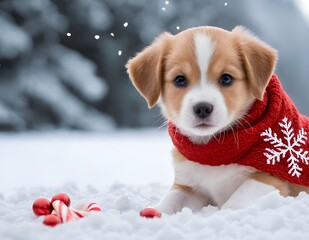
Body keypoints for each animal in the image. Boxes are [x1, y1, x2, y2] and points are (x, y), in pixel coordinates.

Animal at [125, 26, 308, 214]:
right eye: (179, 79)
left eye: (226, 78)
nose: (202, 108)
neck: (214, 148)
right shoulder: (189, 186)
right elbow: (171, 199)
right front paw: (155, 211)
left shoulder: (269, 179)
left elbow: (236, 201)